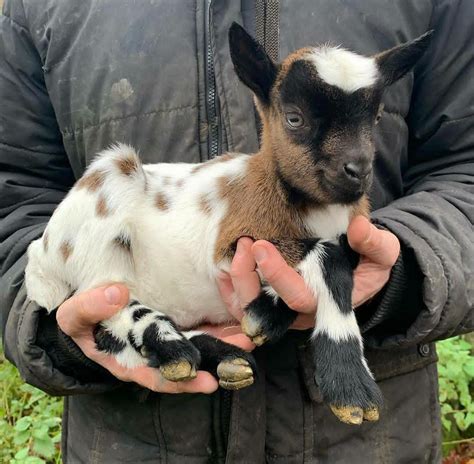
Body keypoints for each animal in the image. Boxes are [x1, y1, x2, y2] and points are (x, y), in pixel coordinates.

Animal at [26, 23, 434, 426]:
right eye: (295, 118)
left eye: (376, 118)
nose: (357, 171)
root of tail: (39, 259)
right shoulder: (232, 242)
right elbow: (331, 260)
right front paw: (350, 388)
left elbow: (342, 255)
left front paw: (265, 313)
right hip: (107, 190)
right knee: (106, 303)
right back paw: (172, 347)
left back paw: (221, 357)